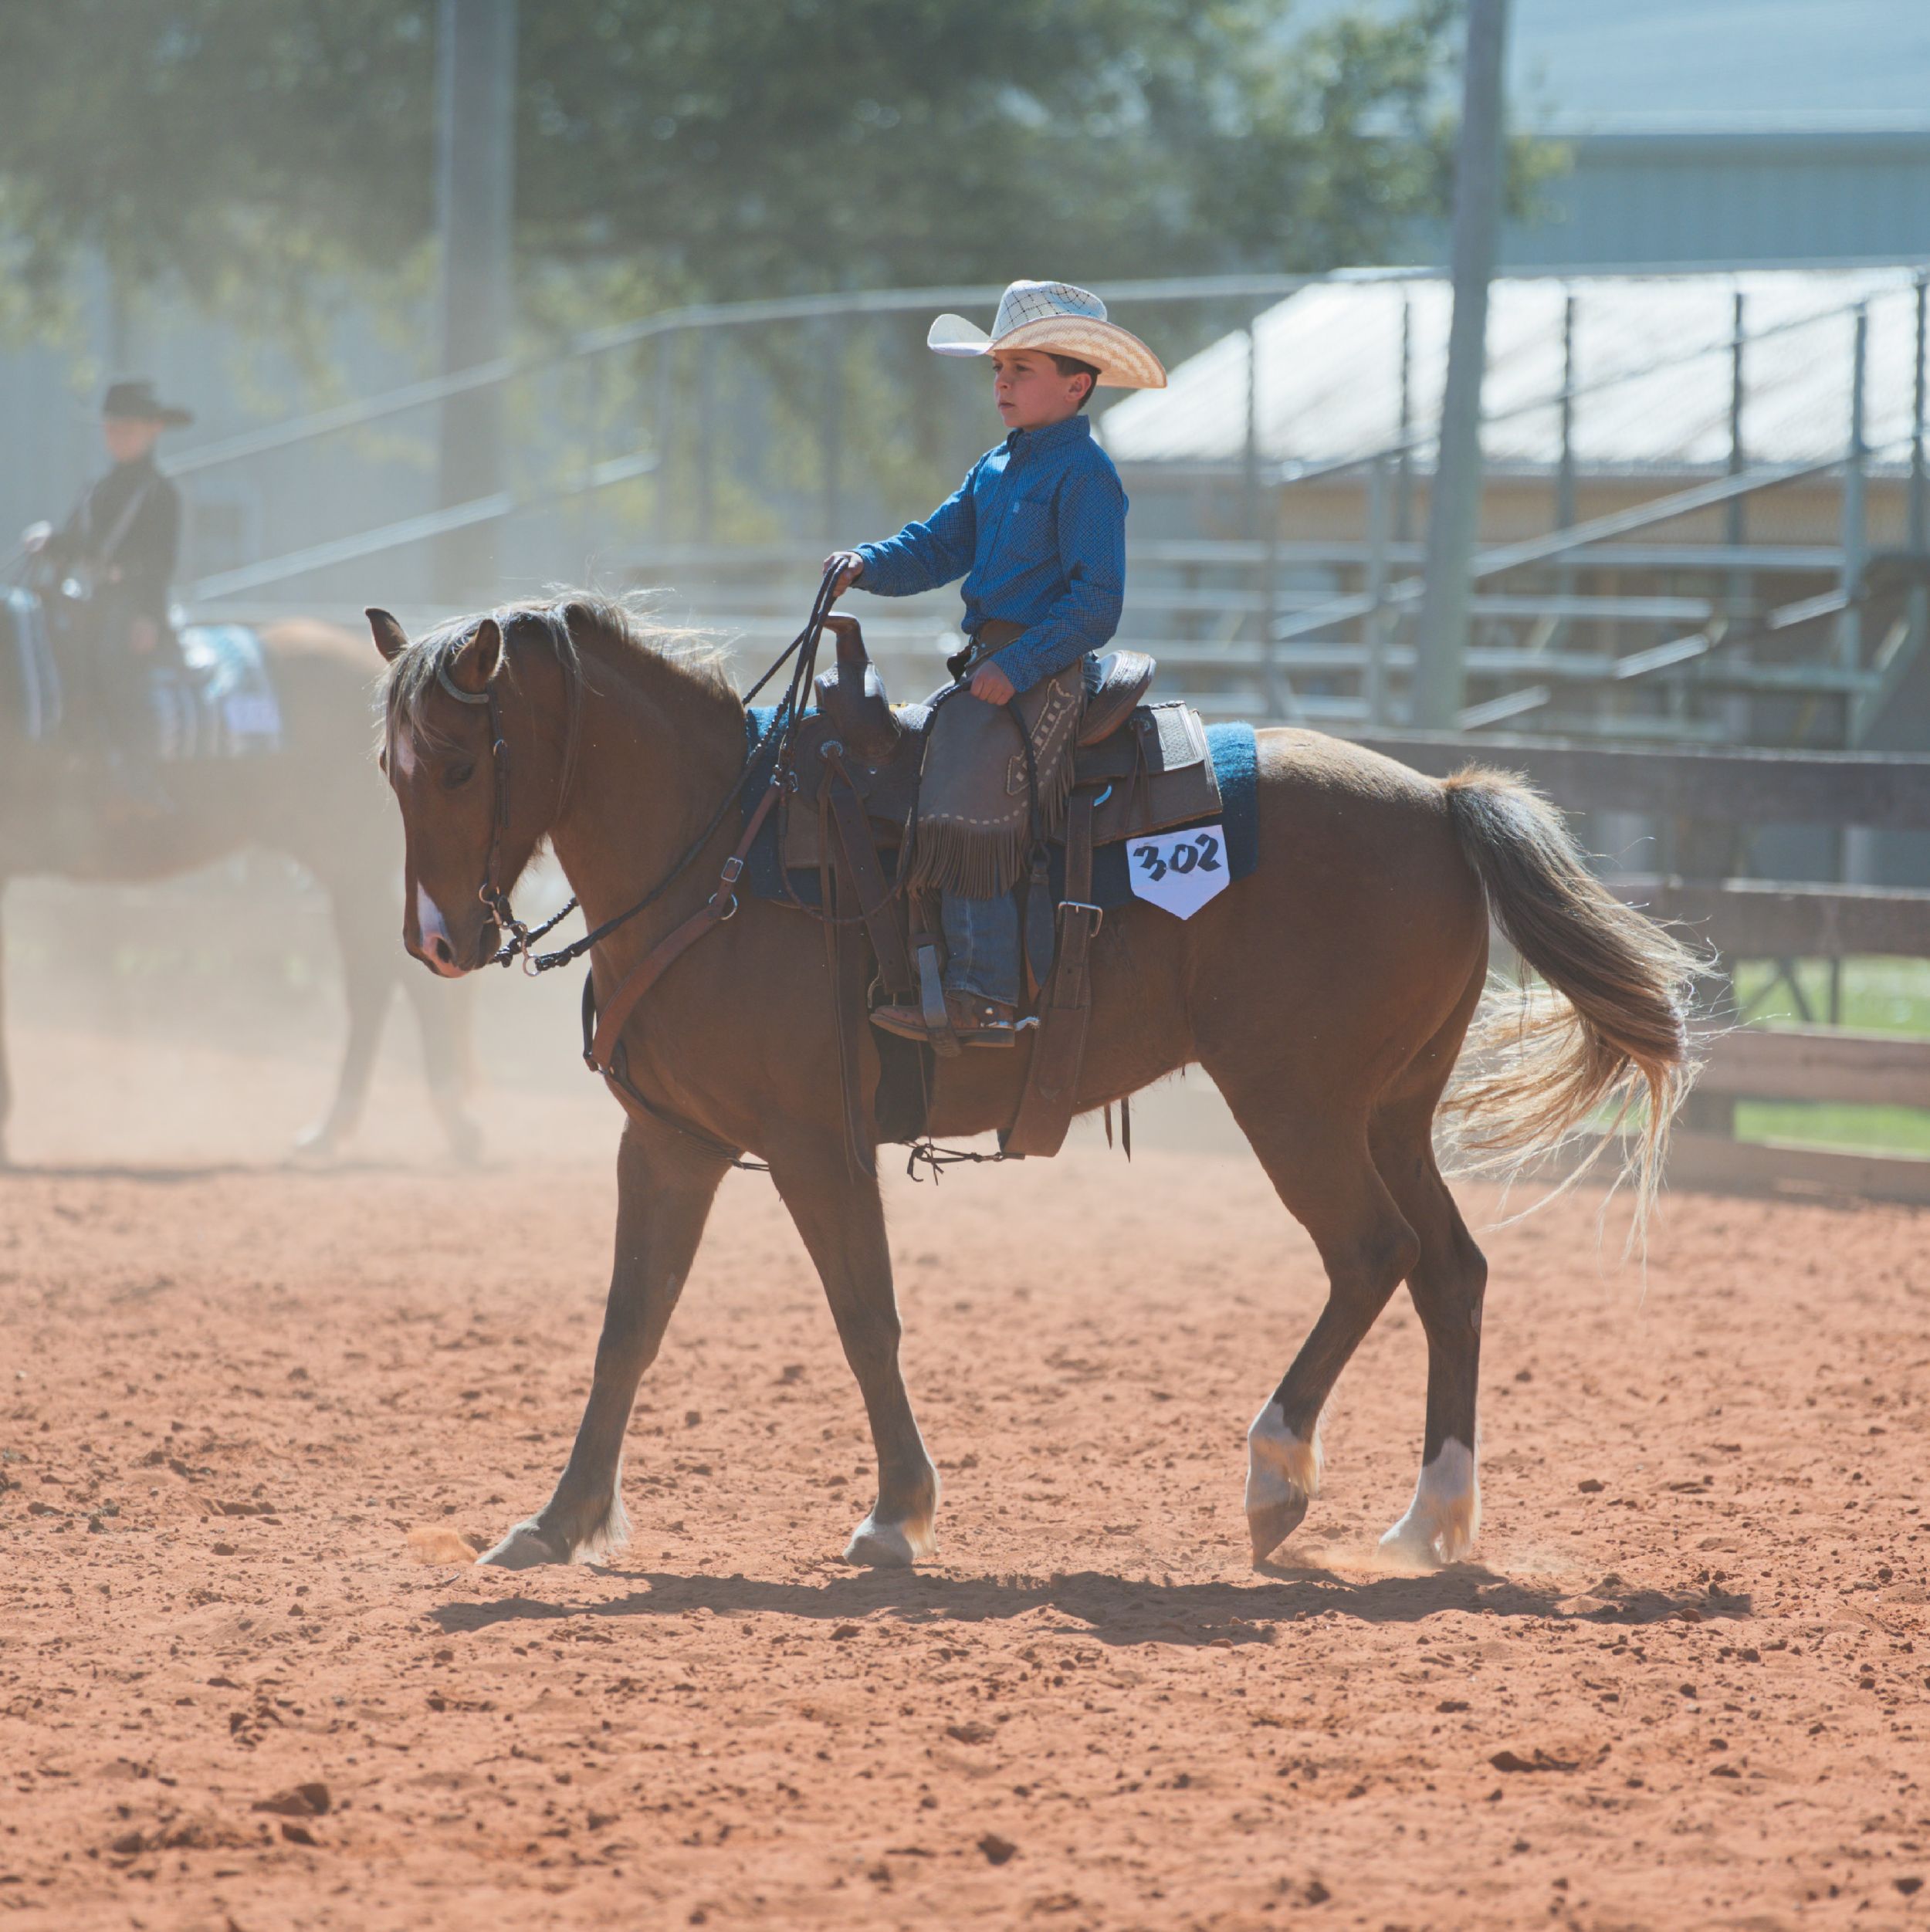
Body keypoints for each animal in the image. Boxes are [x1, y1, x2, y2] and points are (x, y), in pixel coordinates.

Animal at [369, 591, 1698, 1573]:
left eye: (456, 763)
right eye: (387, 769)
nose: (434, 939)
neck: (723, 852)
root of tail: (1439, 801)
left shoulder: (813, 1140)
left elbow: (864, 1315)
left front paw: (896, 1511)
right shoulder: (670, 1140)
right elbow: (628, 1326)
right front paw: (555, 1521)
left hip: (1298, 1105)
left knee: (1373, 1253)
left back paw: (1276, 1476)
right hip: (1391, 1111)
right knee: (1450, 1271)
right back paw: (1428, 1520)